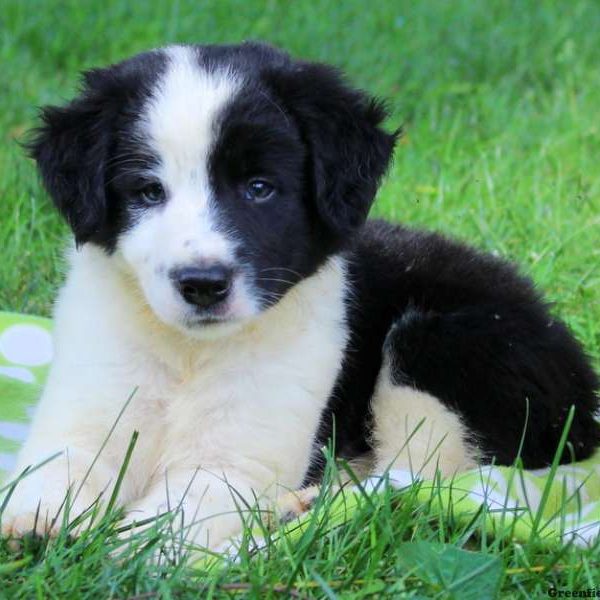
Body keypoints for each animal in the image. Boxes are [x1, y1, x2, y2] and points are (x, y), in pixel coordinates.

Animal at [2, 42, 596, 548]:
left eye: (259, 188)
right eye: (149, 192)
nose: (203, 284)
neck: (191, 353)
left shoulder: (239, 457)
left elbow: (178, 512)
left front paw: (128, 555)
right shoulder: (90, 402)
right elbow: (59, 466)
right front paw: (35, 523)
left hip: (443, 345)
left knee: (424, 474)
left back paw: (305, 505)